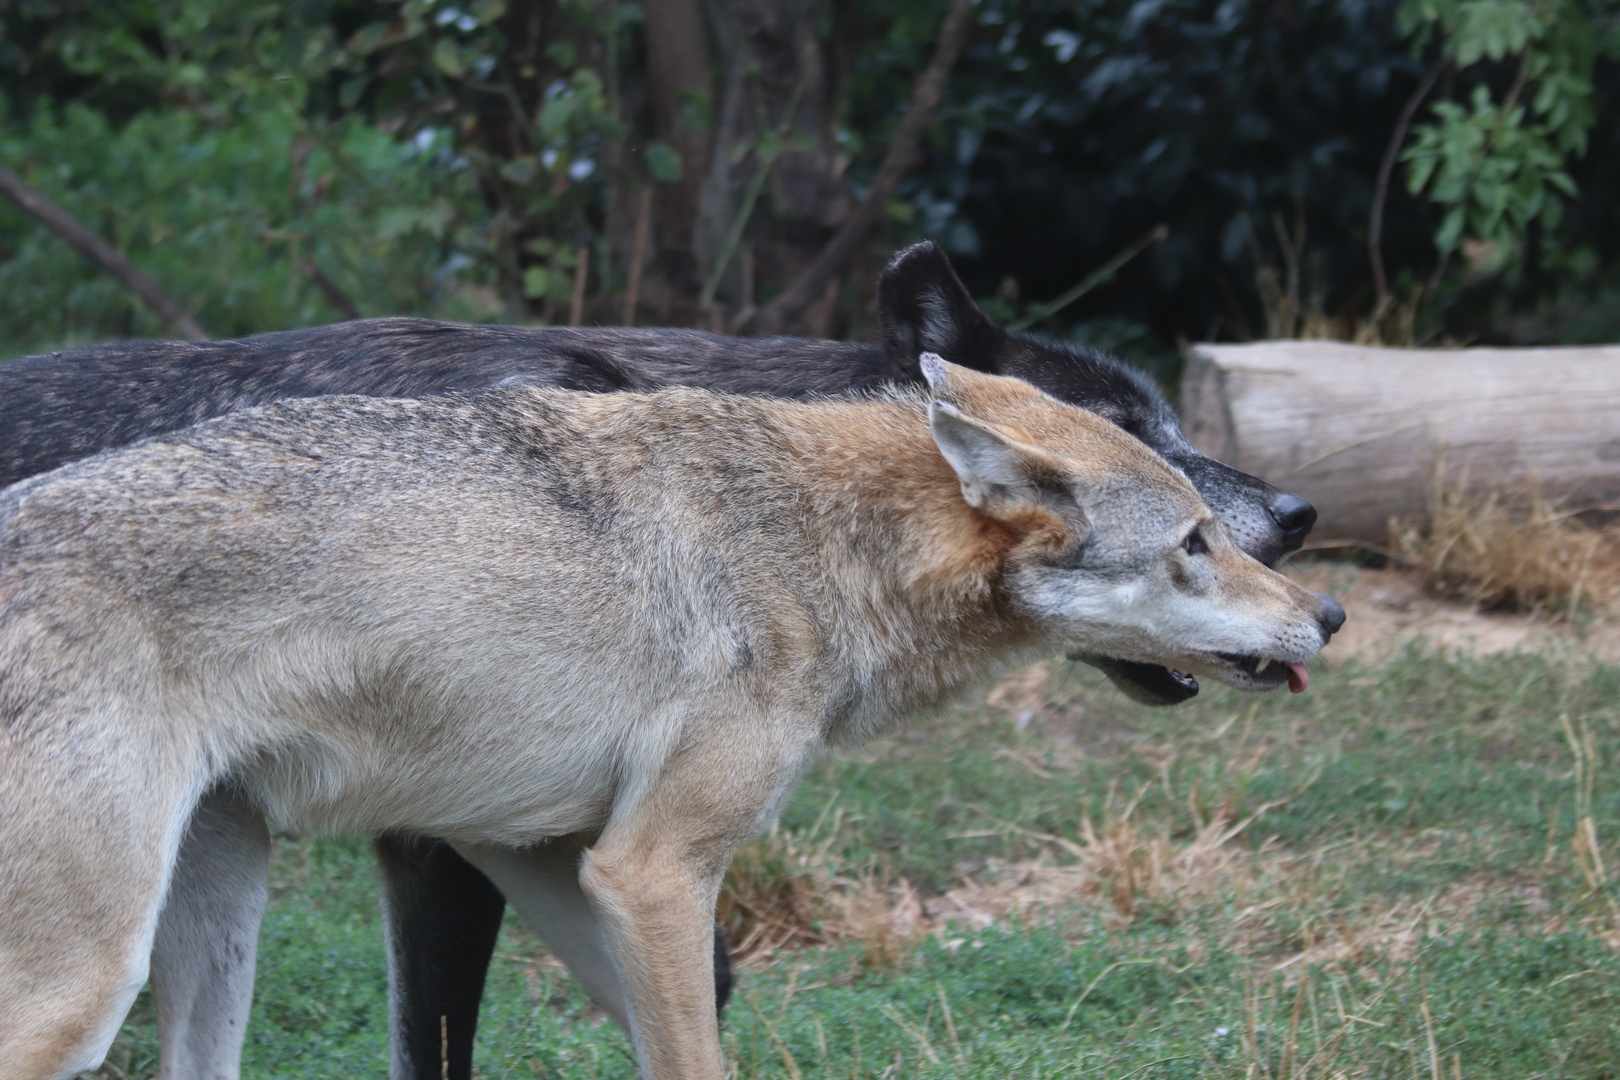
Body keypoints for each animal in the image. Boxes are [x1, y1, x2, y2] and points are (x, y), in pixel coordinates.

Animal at [0, 244, 1315, 1080]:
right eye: (1190, 526)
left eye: (1193, 459)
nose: (1327, 589)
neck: (817, 525)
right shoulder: (620, 869)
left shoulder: (555, 856)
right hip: (93, 983)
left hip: (214, 925)